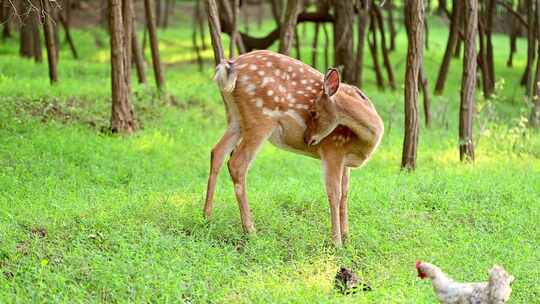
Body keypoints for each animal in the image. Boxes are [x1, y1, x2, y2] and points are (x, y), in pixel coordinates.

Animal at [204, 49, 384, 245]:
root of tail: (228, 66)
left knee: (217, 152)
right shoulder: (333, 148)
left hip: (235, 118)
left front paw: (347, 237)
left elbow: (345, 195)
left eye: (314, 112)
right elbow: (334, 193)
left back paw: (207, 217)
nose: (306, 138)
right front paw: (336, 242)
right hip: (260, 119)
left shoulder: (345, 160)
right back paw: (250, 230)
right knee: (237, 163)